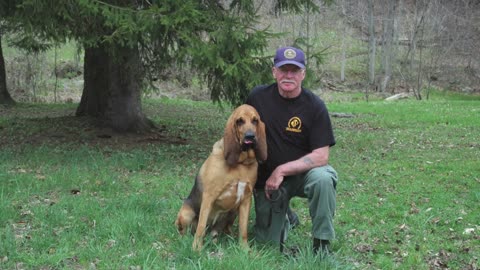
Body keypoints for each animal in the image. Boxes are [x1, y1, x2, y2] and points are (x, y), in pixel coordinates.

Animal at [175, 104, 266, 251]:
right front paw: (196, 249)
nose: (250, 136)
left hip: (233, 212)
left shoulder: (246, 199)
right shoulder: (209, 196)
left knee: (222, 230)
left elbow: (243, 230)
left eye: (255, 120)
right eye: (239, 121)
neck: (240, 164)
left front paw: (245, 249)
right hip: (185, 214)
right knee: (188, 230)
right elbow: (201, 227)